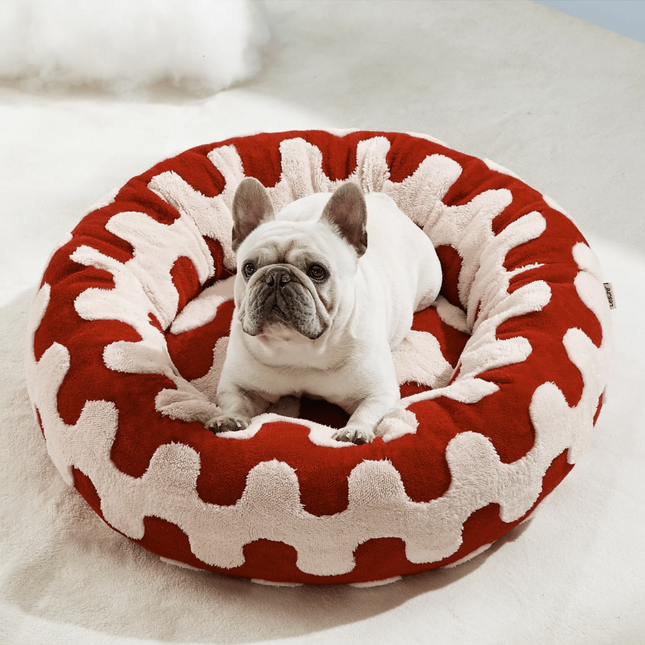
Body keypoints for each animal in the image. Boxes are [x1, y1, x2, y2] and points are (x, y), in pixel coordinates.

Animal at [209, 177, 440, 442]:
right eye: (248, 268)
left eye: (317, 271)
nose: (277, 276)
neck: (298, 348)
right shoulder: (236, 385)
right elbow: (236, 401)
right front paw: (229, 420)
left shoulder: (380, 392)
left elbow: (368, 411)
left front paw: (355, 431)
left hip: (431, 287)